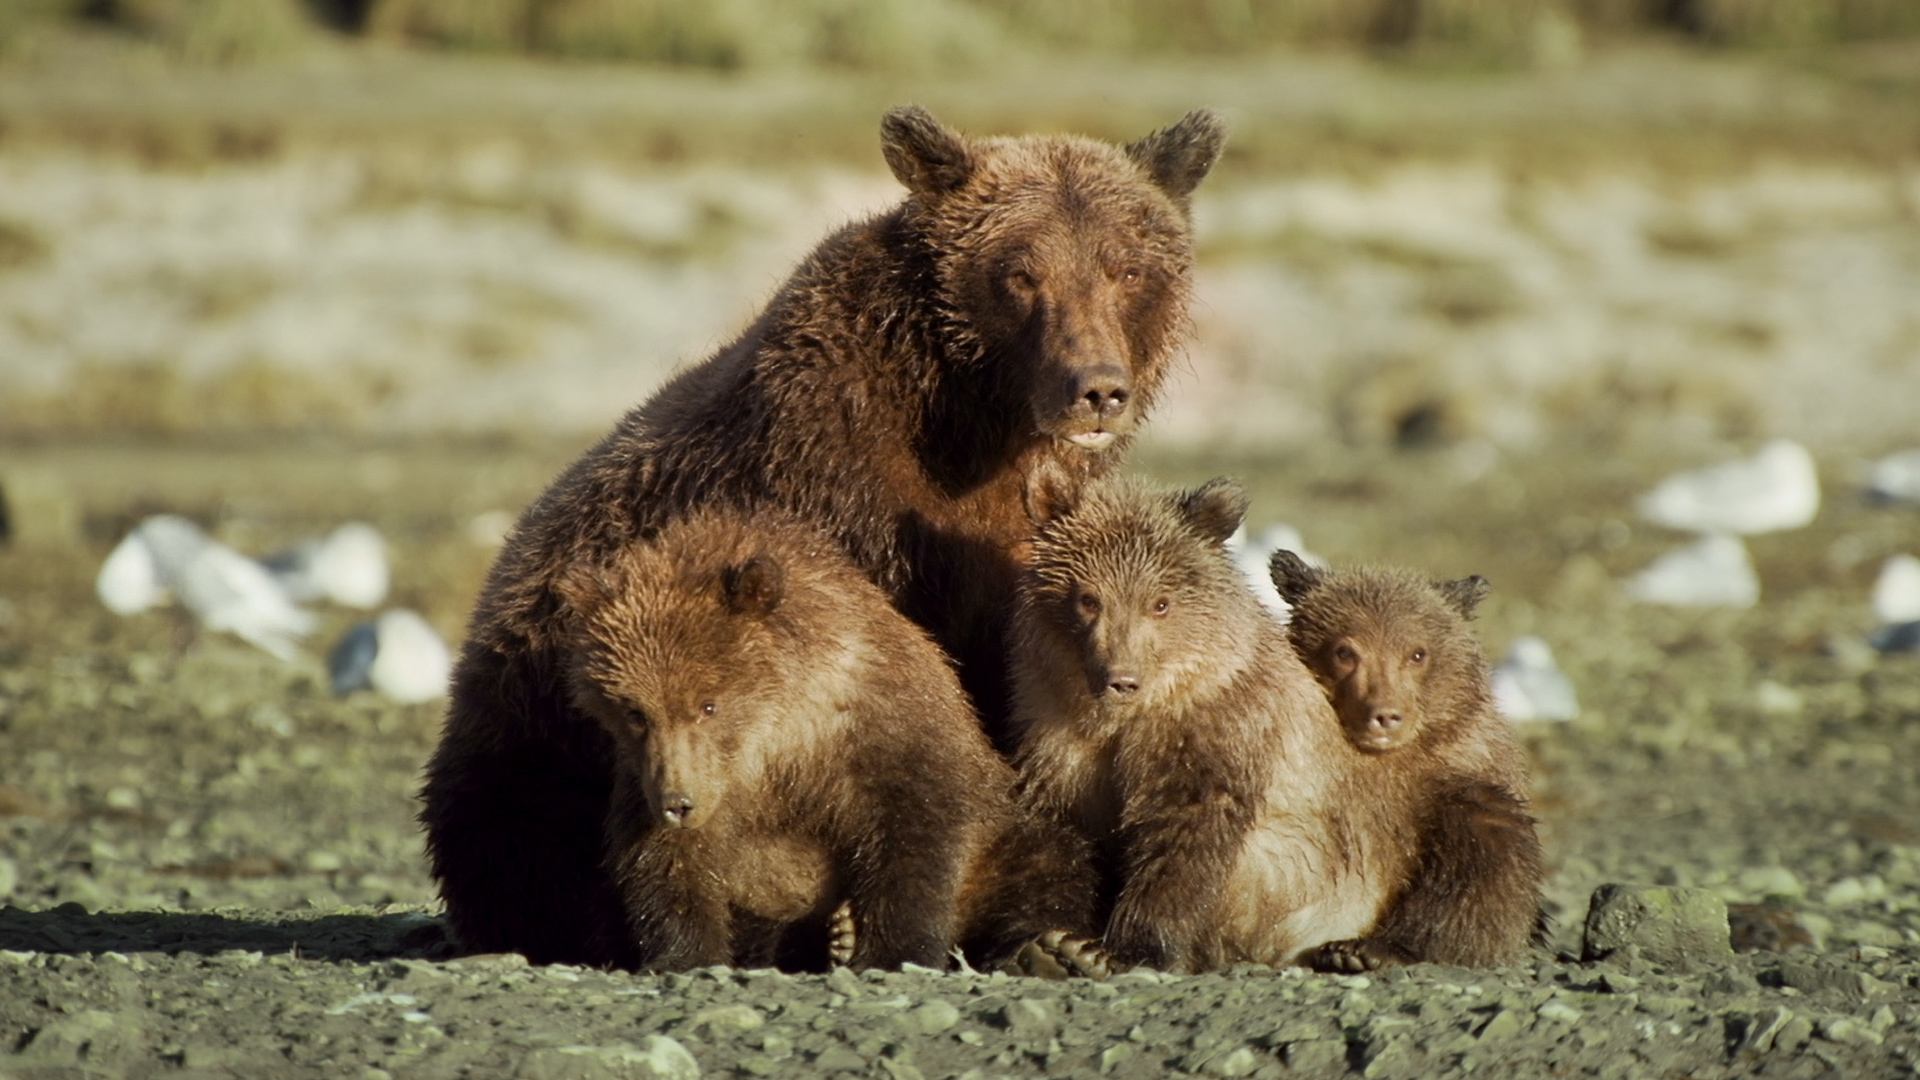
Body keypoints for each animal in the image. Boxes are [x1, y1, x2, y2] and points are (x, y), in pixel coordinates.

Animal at [556, 503, 1098, 968]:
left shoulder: (875, 732)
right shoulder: (665, 782)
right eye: (634, 712)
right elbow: (664, 867)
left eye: (708, 705)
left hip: (1001, 839)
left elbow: (915, 832)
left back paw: (1054, 952)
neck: (775, 737)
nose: (678, 802)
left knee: (1048, 858)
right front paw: (685, 955)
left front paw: (893, 950)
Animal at [1267, 545, 1551, 968]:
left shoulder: (1455, 788)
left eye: (1417, 653)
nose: (1385, 714)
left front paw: (1367, 949)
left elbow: (1483, 873)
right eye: (1345, 651)